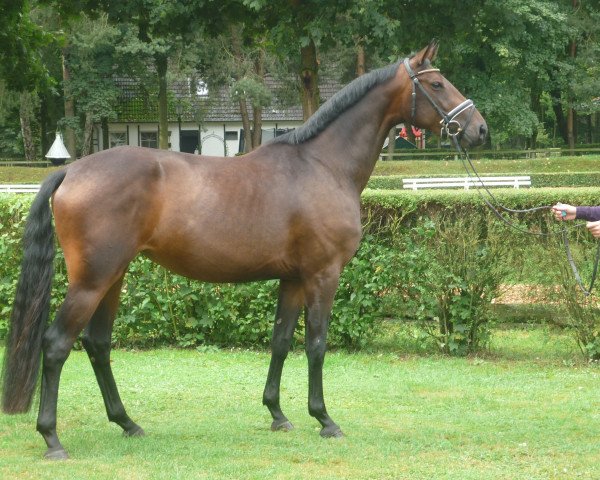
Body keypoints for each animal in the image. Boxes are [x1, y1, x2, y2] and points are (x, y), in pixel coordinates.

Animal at [1, 40, 488, 458]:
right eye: (438, 84)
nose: (479, 128)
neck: (322, 165)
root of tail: (72, 171)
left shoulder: (292, 278)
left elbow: (280, 341)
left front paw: (277, 414)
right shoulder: (323, 275)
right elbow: (316, 344)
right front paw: (324, 419)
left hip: (113, 277)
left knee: (97, 344)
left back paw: (127, 423)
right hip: (92, 280)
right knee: (56, 344)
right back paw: (52, 439)